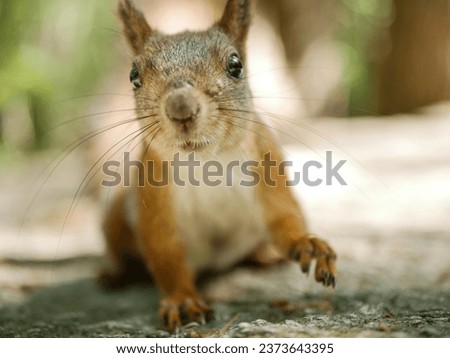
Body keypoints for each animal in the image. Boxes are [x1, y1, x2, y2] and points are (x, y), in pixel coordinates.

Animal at [98, 0, 338, 332]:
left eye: (236, 66)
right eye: (134, 75)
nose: (181, 108)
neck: (206, 162)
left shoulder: (267, 163)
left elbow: (284, 217)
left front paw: (308, 244)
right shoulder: (152, 191)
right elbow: (165, 252)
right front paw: (182, 300)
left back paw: (266, 254)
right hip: (116, 216)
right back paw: (112, 274)